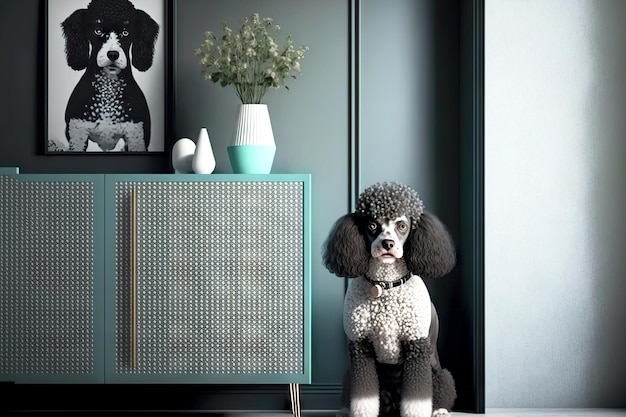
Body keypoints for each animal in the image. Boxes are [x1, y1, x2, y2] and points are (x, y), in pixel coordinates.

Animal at [322, 182, 454, 416]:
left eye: (402, 225)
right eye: (372, 225)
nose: (388, 243)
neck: (384, 285)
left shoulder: (416, 345)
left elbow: (417, 399)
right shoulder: (360, 345)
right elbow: (363, 397)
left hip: (437, 372)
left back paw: (439, 410)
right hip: (351, 376)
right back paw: (344, 410)